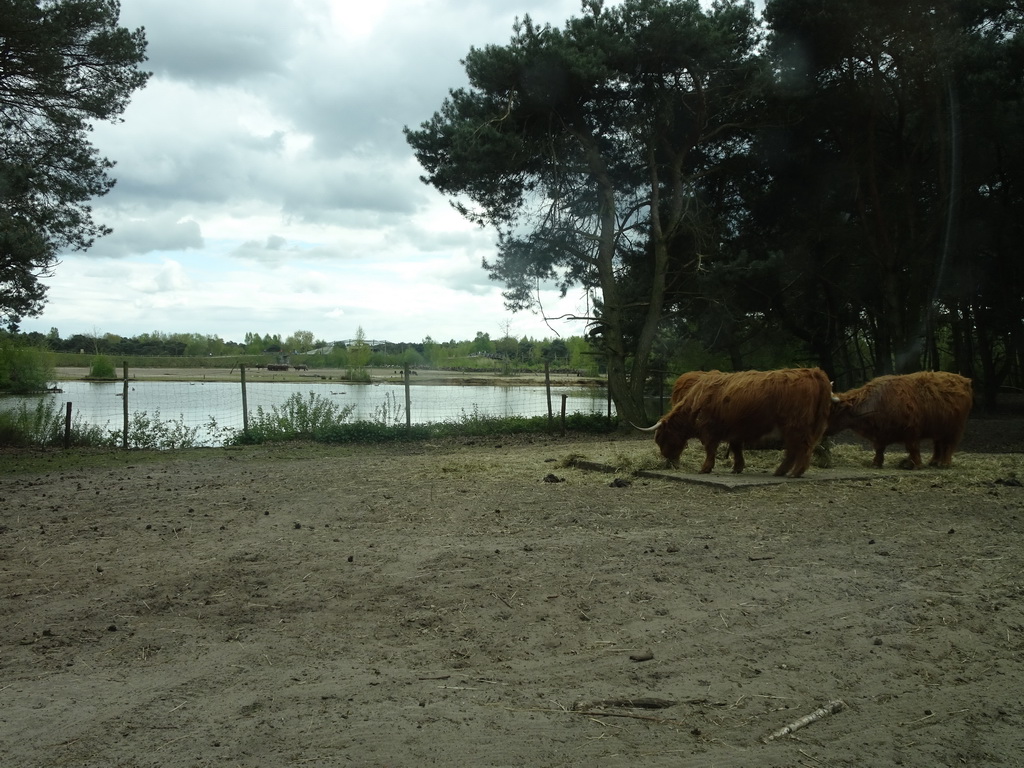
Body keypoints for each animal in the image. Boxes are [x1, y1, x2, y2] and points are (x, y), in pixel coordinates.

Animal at [634, 368, 835, 481]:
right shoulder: (736, 430)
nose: (668, 460)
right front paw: (737, 467)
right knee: (795, 450)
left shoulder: (709, 429)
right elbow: (736, 448)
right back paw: (781, 472)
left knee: (801, 448)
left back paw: (795, 473)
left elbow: (710, 449)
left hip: (796, 426)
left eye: (660, 439)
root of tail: (813, 372)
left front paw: (705, 468)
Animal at [827, 368, 970, 466]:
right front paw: (876, 463)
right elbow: (879, 448)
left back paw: (944, 463)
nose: (824, 430)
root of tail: (963, 379)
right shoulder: (880, 434)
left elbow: (913, 448)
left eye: (831, 412)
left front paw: (916, 464)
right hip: (939, 428)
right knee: (938, 445)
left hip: (953, 428)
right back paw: (934, 462)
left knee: (949, 445)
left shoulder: (911, 430)